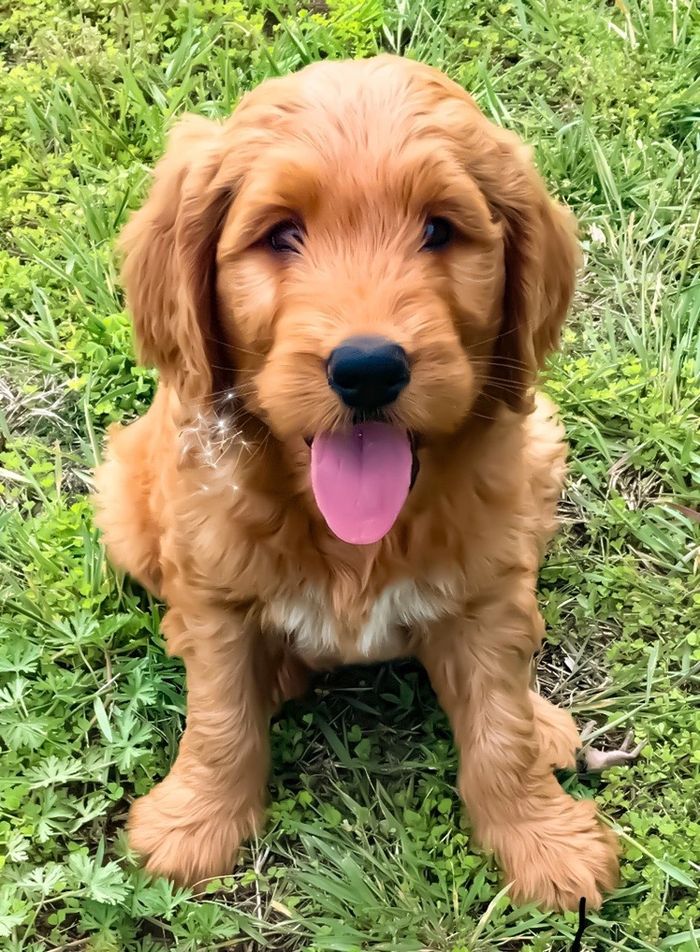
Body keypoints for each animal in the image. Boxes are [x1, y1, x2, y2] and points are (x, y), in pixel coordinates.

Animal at [93, 55, 616, 912]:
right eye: (281, 234)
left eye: (439, 229)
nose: (368, 368)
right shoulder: (216, 589)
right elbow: (219, 715)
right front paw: (194, 823)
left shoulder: (484, 596)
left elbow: (500, 724)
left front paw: (544, 840)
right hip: (126, 498)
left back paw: (549, 725)